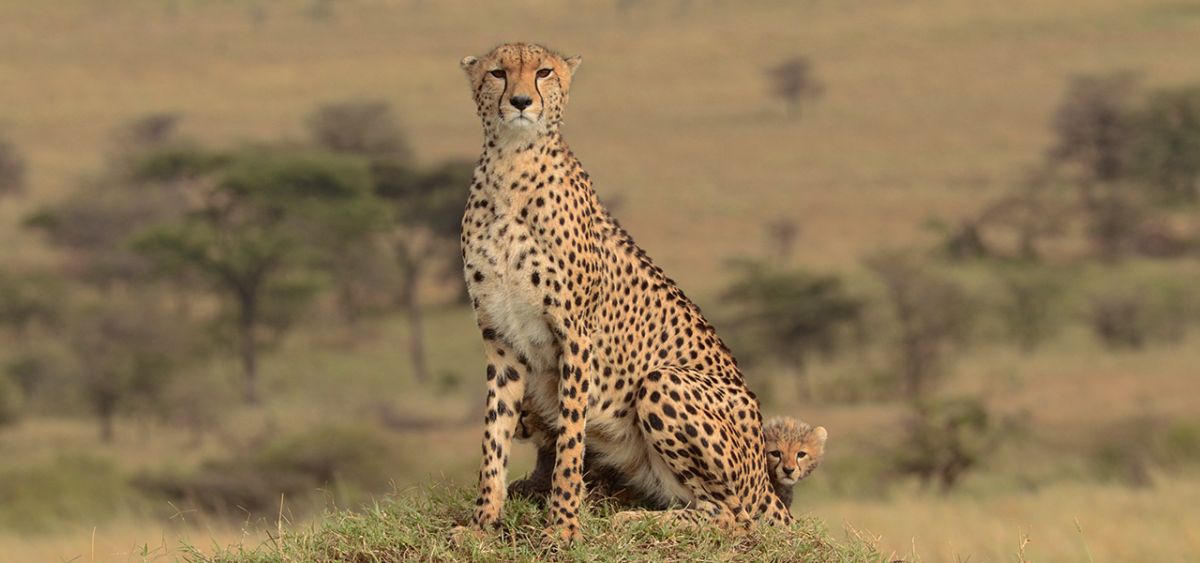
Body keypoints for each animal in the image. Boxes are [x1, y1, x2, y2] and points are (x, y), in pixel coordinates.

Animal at [453, 41, 792, 542]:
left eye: (543, 72)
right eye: (498, 72)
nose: (520, 101)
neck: (511, 164)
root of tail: (766, 483)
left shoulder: (575, 336)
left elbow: (570, 443)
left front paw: (563, 529)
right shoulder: (500, 341)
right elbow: (493, 441)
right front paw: (481, 525)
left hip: (664, 381)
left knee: (734, 515)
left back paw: (636, 521)